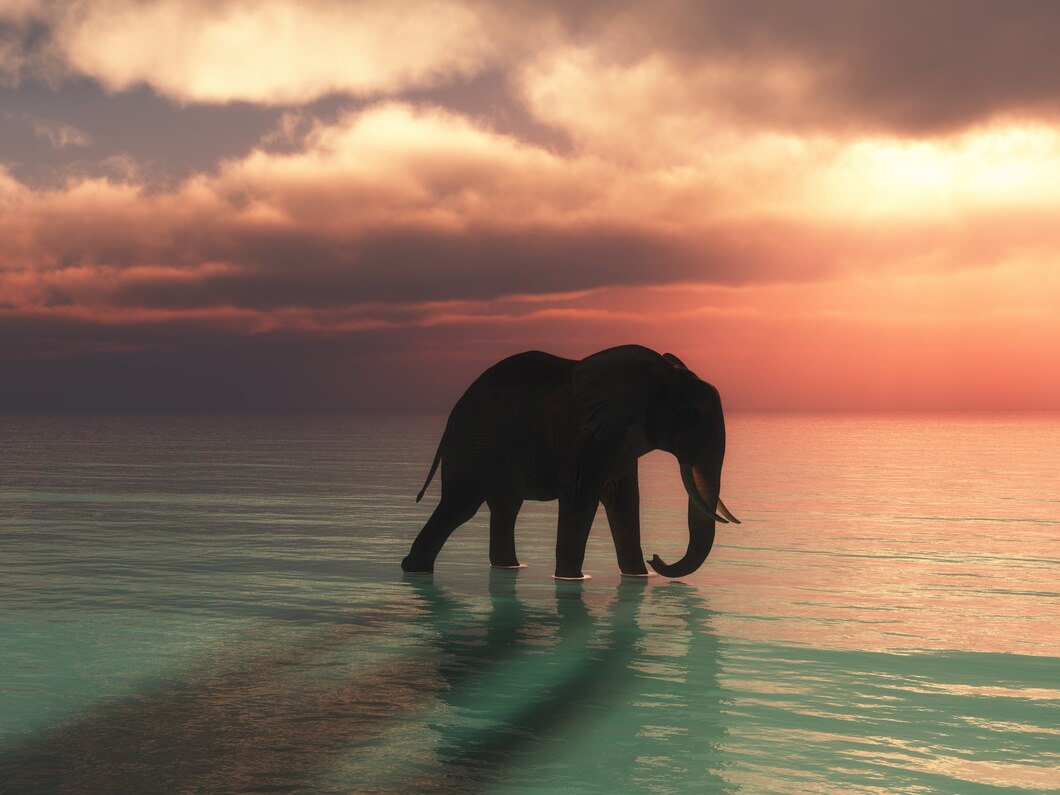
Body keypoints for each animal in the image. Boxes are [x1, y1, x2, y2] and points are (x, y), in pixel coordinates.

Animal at [401, 344, 740, 580]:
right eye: (691, 415)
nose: (656, 559)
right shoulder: (591, 443)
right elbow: (581, 501)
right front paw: (570, 580)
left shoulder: (619, 444)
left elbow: (625, 503)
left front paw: (637, 576)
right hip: (474, 446)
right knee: (460, 506)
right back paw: (414, 569)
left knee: (505, 506)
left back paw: (508, 567)